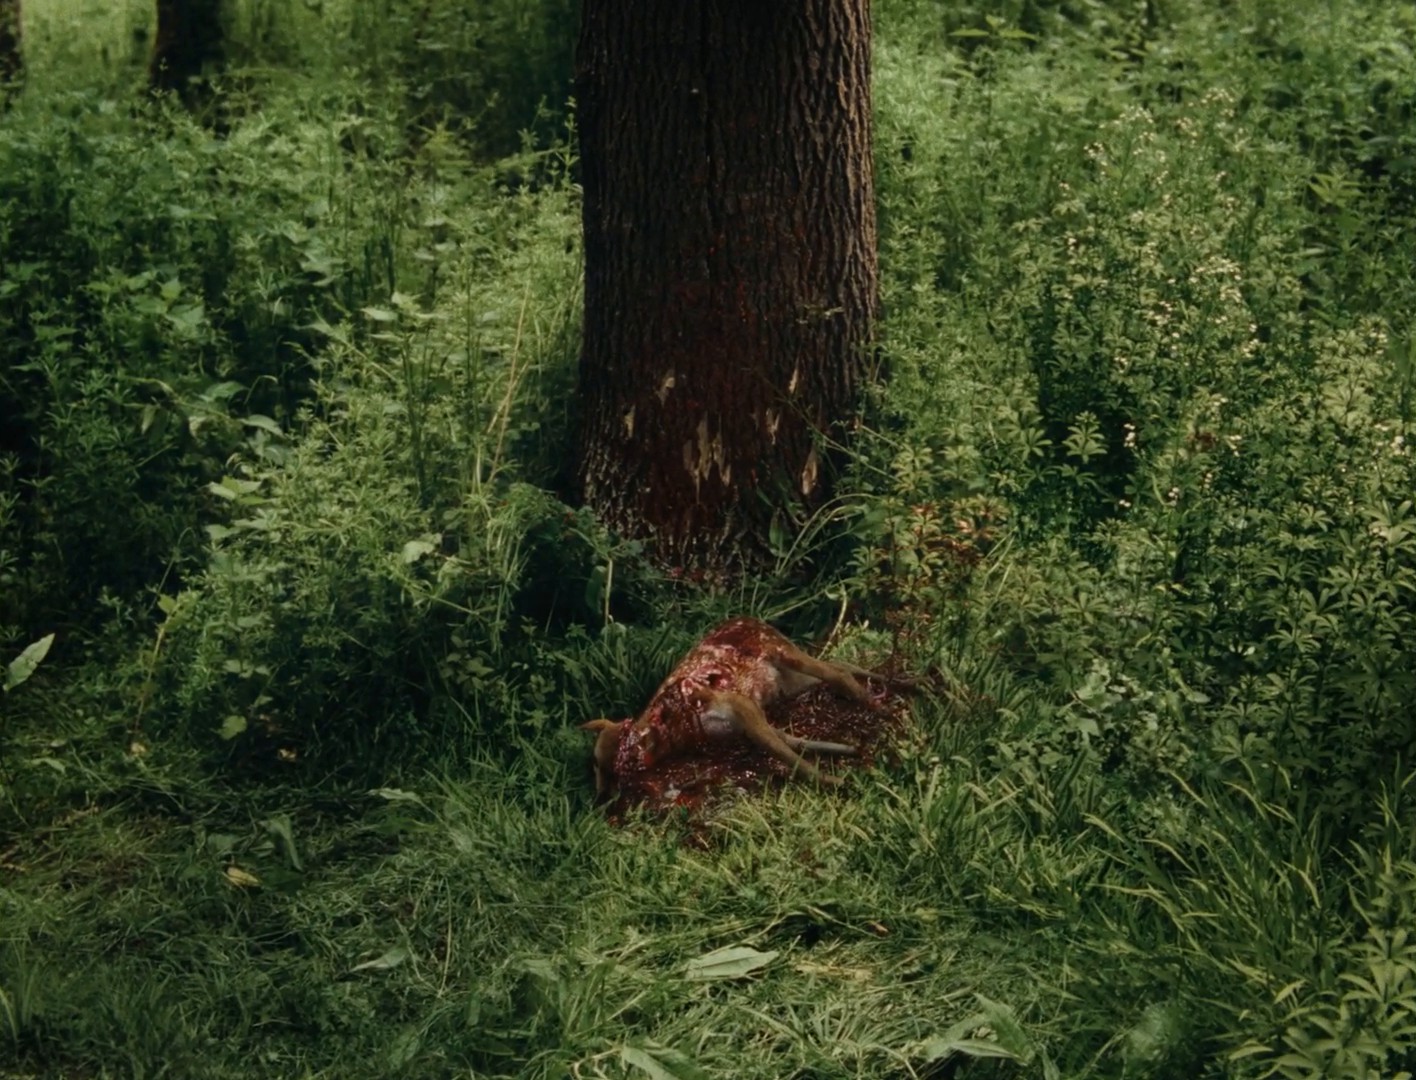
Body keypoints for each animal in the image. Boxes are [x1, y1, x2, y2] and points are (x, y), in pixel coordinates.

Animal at [582, 617, 899, 797]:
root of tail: (748, 617)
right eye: (595, 766)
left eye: (617, 765)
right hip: (789, 681)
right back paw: (901, 685)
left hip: (786, 655)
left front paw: (833, 781)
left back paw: (882, 705)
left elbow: (789, 755)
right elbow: (793, 742)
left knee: (838, 673)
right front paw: (848, 752)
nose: (599, 798)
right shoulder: (745, 724)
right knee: (843, 665)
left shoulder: (742, 709)